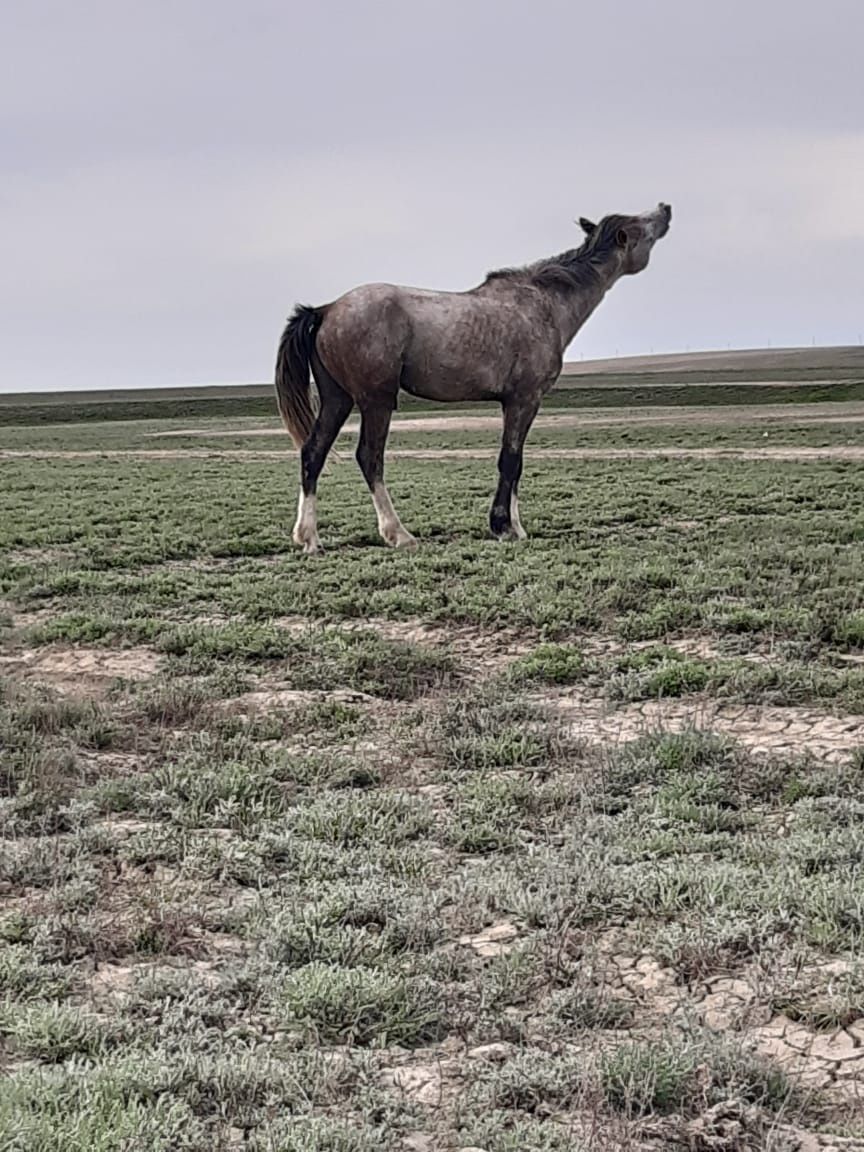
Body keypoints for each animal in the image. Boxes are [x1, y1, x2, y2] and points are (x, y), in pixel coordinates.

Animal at [274, 203, 672, 552]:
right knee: (370, 457)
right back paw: (398, 534)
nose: (665, 208)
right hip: (376, 401)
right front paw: (503, 527)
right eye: (639, 225)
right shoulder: (525, 399)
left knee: (313, 453)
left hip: (337, 400)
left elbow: (516, 462)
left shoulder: (515, 404)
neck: (544, 305)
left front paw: (516, 526)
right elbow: (510, 460)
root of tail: (326, 311)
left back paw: (309, 539)